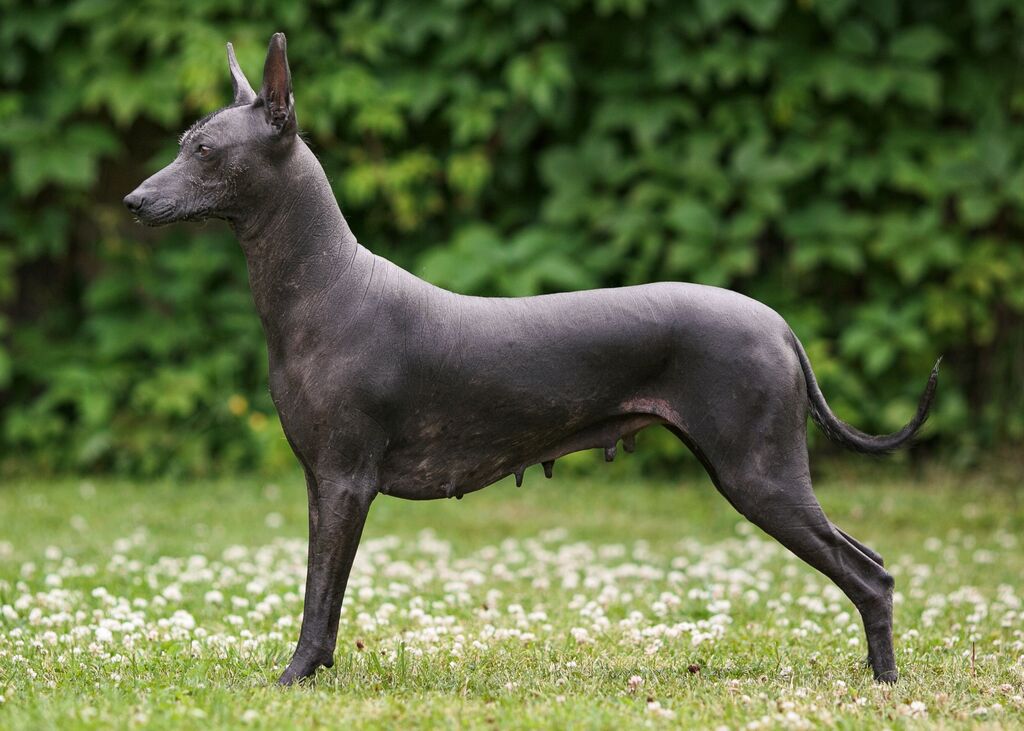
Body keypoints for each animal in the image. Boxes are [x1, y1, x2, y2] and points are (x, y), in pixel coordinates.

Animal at [123, 34, 937, 683]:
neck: (326, 284)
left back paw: (885, 682)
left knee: (871, 576)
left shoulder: (345, 481)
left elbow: (321, 596)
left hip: (758, 473)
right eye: (182, 140)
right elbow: (321, 590)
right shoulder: (324, 484)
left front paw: (297, 677)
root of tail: (779, 324)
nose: (132, 202)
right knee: (870, 564)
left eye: (204, 151)